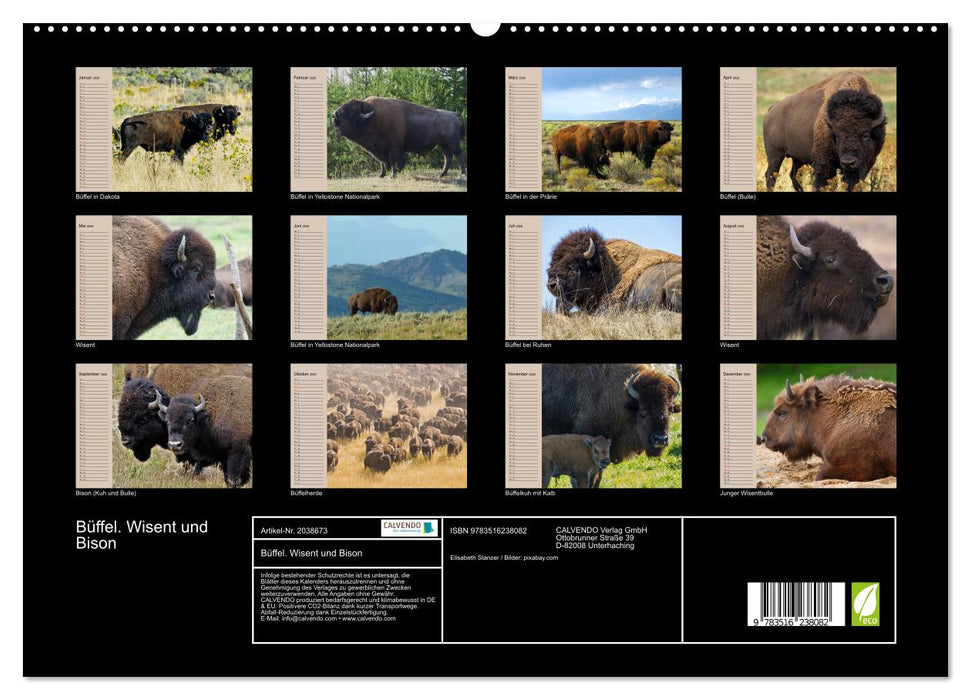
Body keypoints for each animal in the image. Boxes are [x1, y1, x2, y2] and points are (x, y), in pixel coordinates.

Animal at [332, 97, 466, 178]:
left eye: (350, 112)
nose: (334, 115)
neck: (373, 118)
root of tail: (455, 115)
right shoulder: (378, 150)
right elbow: (382, 162)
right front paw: (381, 175)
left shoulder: (393, 148)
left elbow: (393, 161)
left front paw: (393, 174)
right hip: (443, 145)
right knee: (448, 158)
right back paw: (441, 175)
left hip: (452, 145)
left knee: (459, 156)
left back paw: (461, 174)